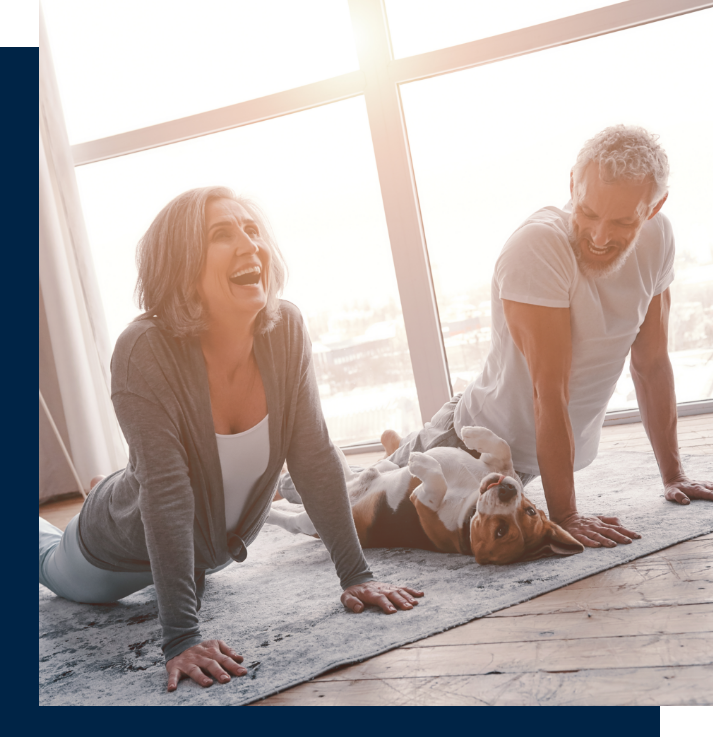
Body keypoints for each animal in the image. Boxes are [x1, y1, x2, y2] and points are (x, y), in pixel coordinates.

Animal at [268, 426, 584, 564]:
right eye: (529, 510)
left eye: (501, 532)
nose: (506, 491)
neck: (470, 506)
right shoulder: (496, 467)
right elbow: (503, 449)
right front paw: (472, 433)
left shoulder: (422, 502)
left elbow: (436, 485)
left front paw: (420, 462)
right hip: (365, 472)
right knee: (357, 468)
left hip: (312, 519)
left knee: (292, 521)